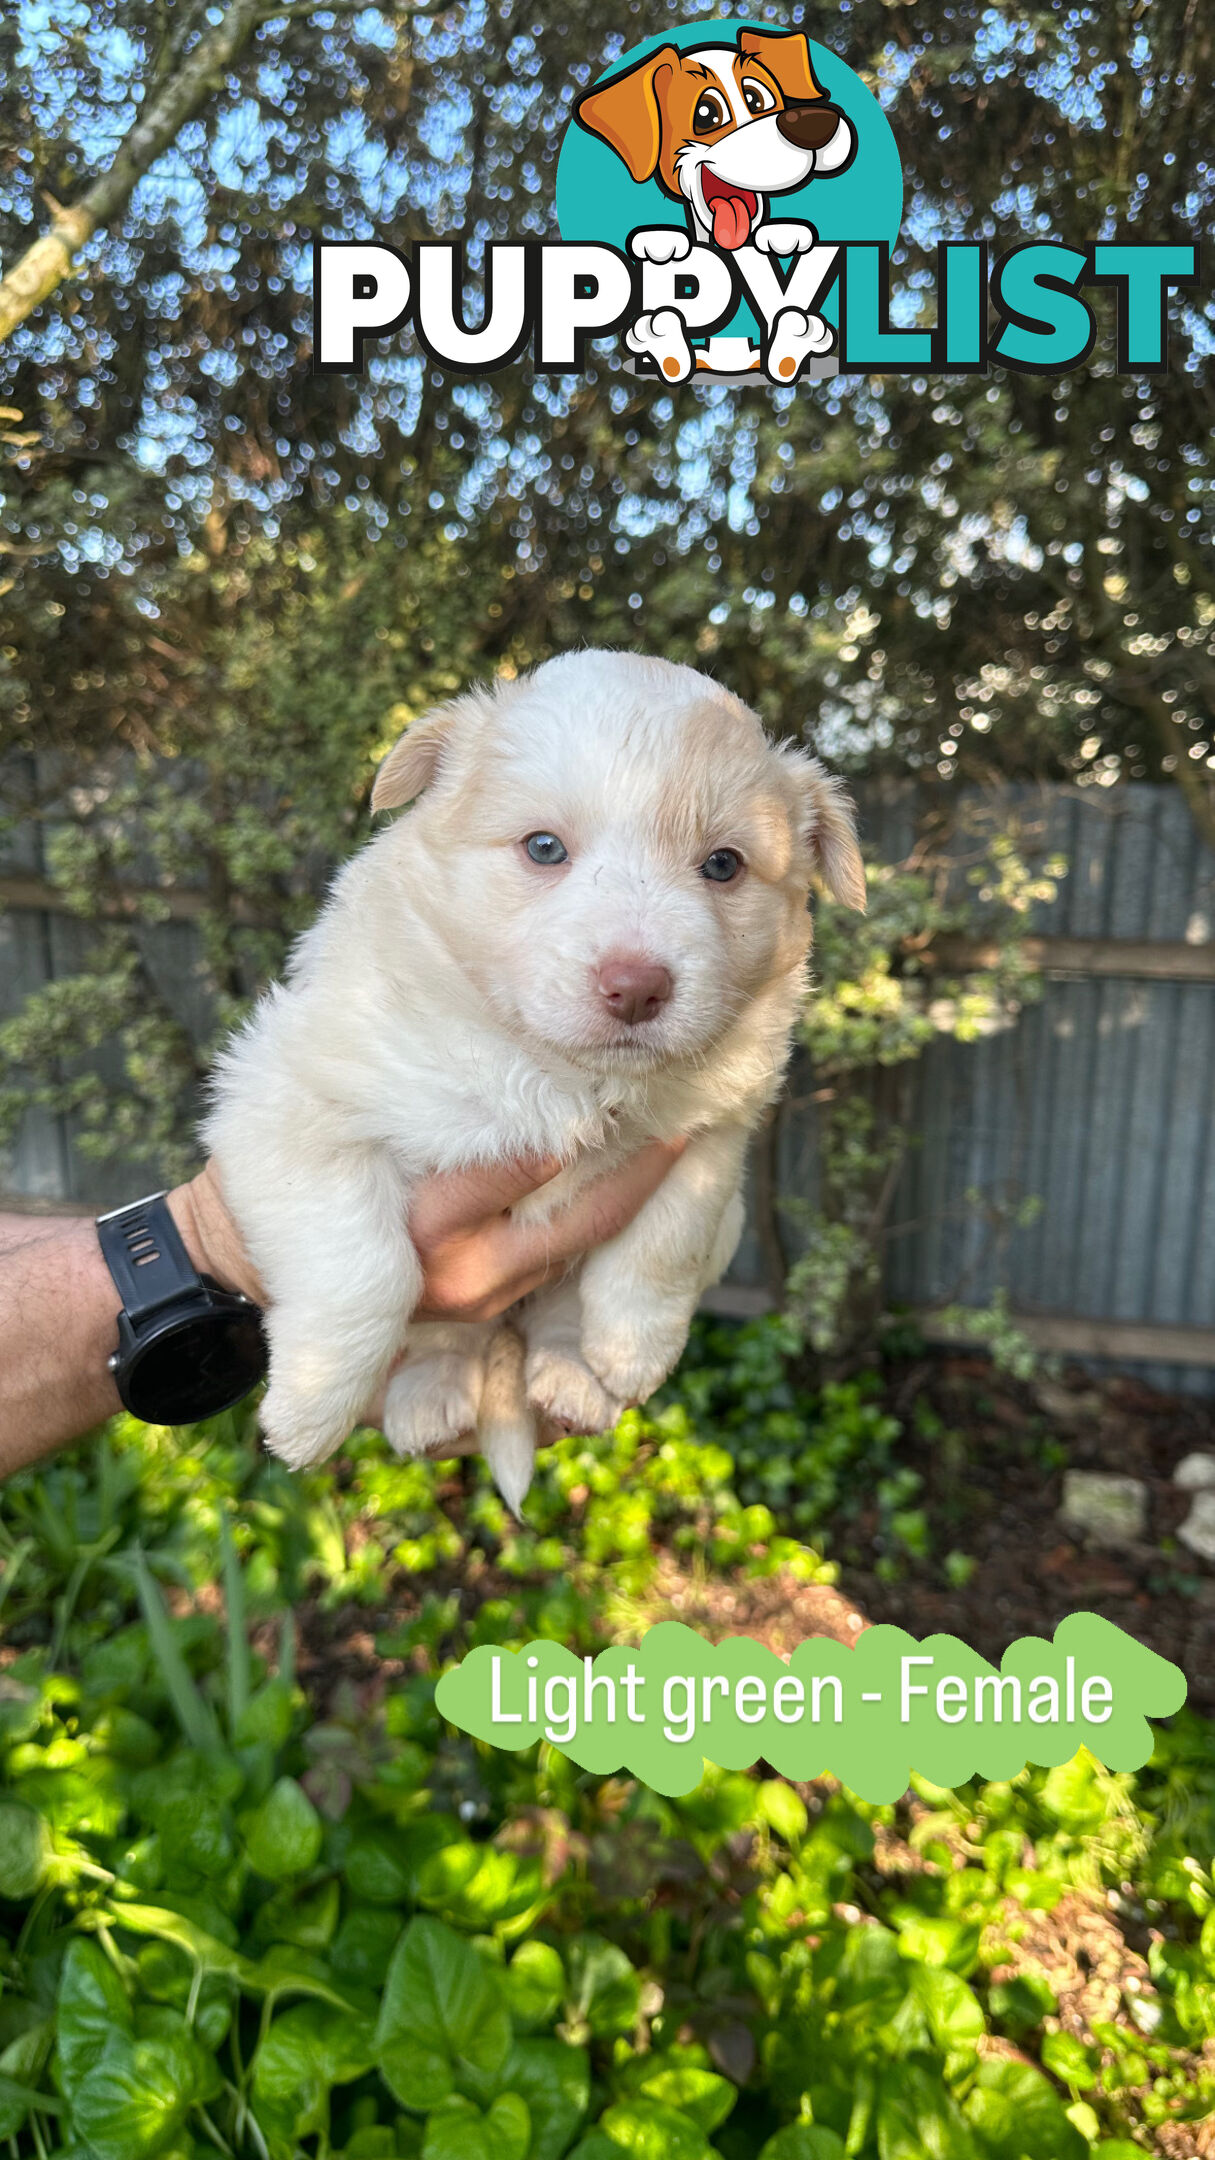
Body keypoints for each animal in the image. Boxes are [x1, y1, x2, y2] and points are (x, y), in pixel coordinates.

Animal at [210, 648, 869, 1512]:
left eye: (723, 865)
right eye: (544, 848)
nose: (636, 988)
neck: (562, 1073)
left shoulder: (713, 1134)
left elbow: (666, 1242)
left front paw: (630, 1352)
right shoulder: (284, 1100)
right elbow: (367, 1268)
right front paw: (308, 1412)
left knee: (554, 1319)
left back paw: (572, 1380)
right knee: (445, 1334)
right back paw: (428, 1399)